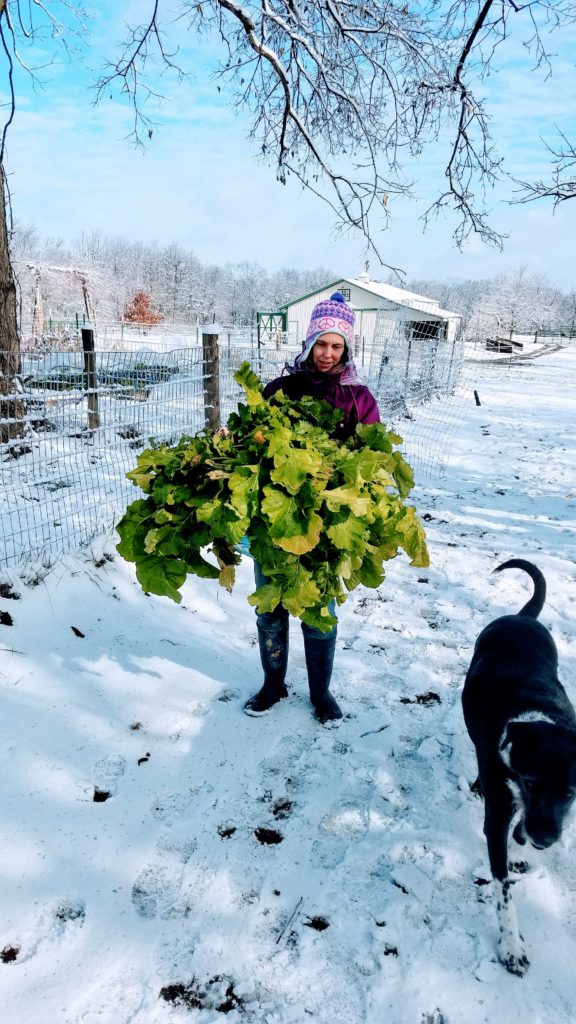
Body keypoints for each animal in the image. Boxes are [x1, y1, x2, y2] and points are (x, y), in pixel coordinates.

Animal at [459, 561, 573, 974]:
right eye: (530, 781)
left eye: (571, 792)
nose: (545, 838)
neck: (535, 718)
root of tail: (522, 616)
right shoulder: (499, 816)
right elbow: (503, 890)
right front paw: (511, 947)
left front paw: (522, 849)